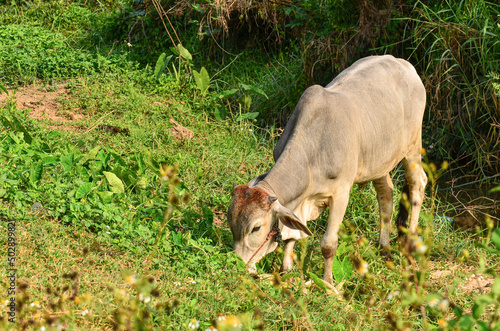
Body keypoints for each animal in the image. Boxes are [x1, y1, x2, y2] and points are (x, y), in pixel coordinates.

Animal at [229, 55, 428, 286]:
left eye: (256, 228)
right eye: (230, 222)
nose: (237, 266)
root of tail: (404, 64)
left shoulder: (341, 193)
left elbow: (328, 245)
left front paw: (327, 283)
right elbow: (292, 235)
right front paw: (286, 270)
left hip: (412, 146)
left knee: (418, 185)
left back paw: (410, 247)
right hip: (380, 161)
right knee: (386, 194)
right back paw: (384, 248)